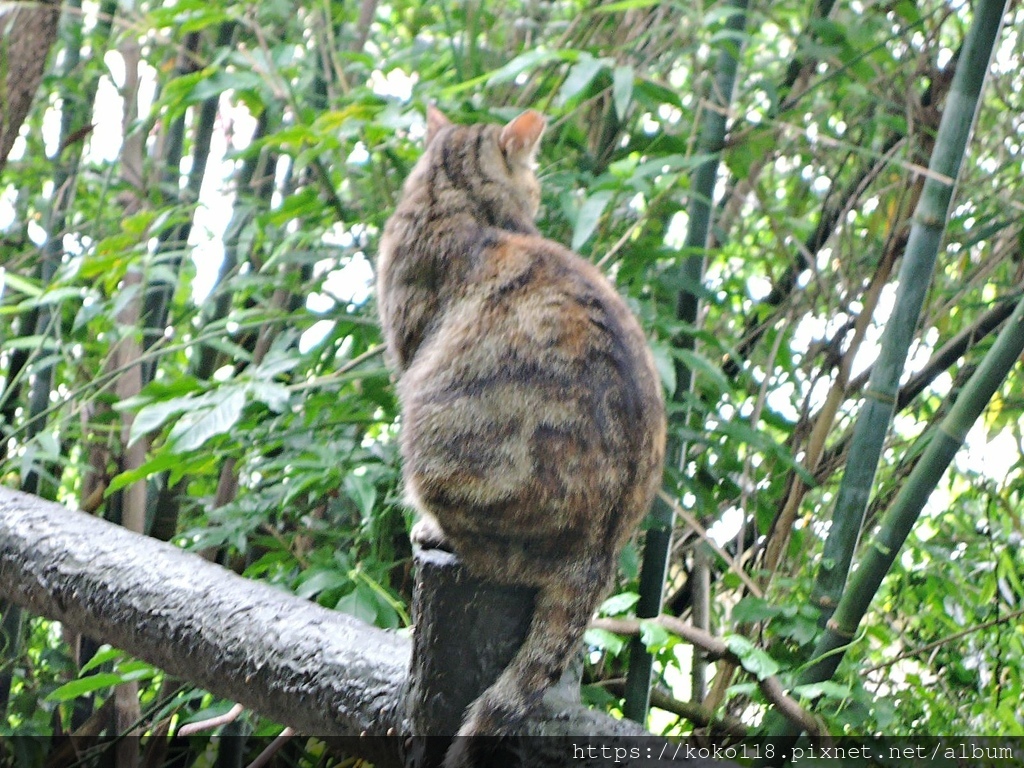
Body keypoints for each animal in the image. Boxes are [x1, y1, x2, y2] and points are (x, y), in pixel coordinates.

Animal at [376, 107, 663, 765]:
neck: (455, 195)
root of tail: (599, 556)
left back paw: (433, 531)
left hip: (432, 446)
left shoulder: (407, 349)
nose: (537, 195)